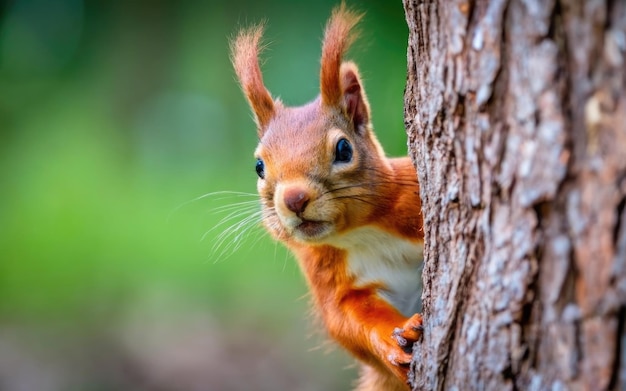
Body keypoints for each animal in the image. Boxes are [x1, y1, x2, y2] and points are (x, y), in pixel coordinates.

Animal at [230, 3, 424, 391]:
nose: (294, 199)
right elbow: (349, 320)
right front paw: (395, 337)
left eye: (344, 149)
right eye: (259, 166)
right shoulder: (330, 279)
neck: (361, 234)